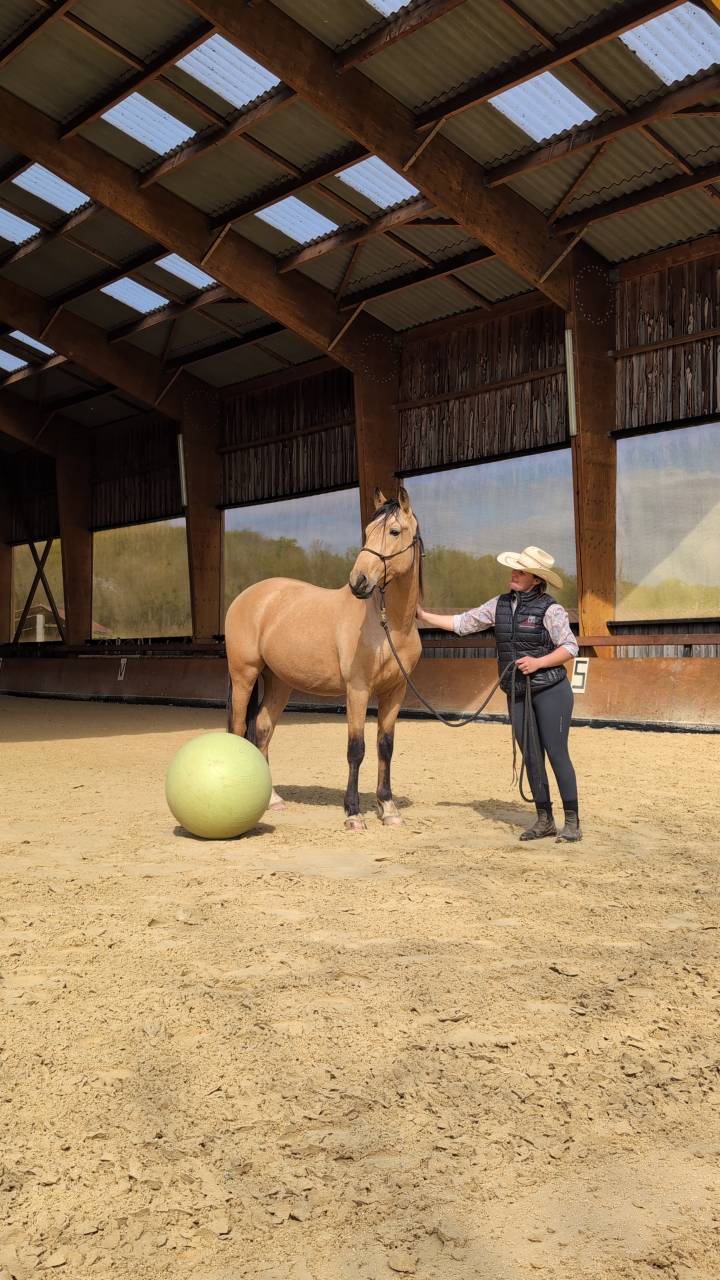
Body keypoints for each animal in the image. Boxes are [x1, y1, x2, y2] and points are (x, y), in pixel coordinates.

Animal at [224, 486, 423, 830]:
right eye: (368, 530)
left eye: (395, 531)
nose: (359, 581)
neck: (390, 625)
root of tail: (248, 597)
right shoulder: (357, 690)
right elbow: (356, 749)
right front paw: (353, 813)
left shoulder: (395, 691)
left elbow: (385, 746)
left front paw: (388, 808)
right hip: (244, 676)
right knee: (239, 730)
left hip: (279, 682)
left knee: (262, 728)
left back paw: (272, 799)